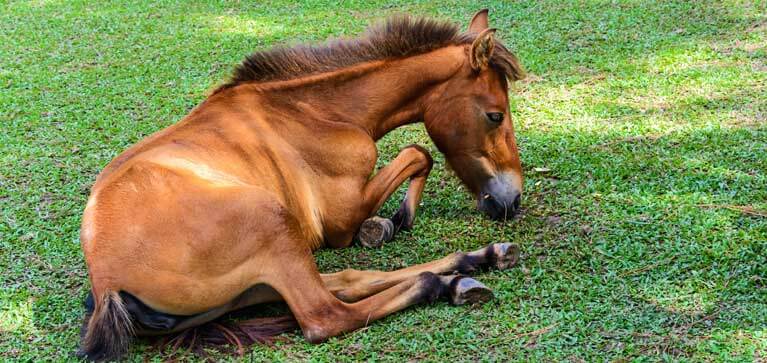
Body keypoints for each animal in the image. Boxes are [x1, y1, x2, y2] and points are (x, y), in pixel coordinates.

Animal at [79, 8, 528, 362]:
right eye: (495, 115)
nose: (512, 200)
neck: (312, 111)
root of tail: (107, 286)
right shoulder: (340, 220)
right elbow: (419, 152)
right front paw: (395, 220)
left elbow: (418, 157)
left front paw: (389, 223)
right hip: (271, 222)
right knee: (327, 315)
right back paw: (442, 282)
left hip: (262, 278)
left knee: (348, 280)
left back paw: (474, 262)